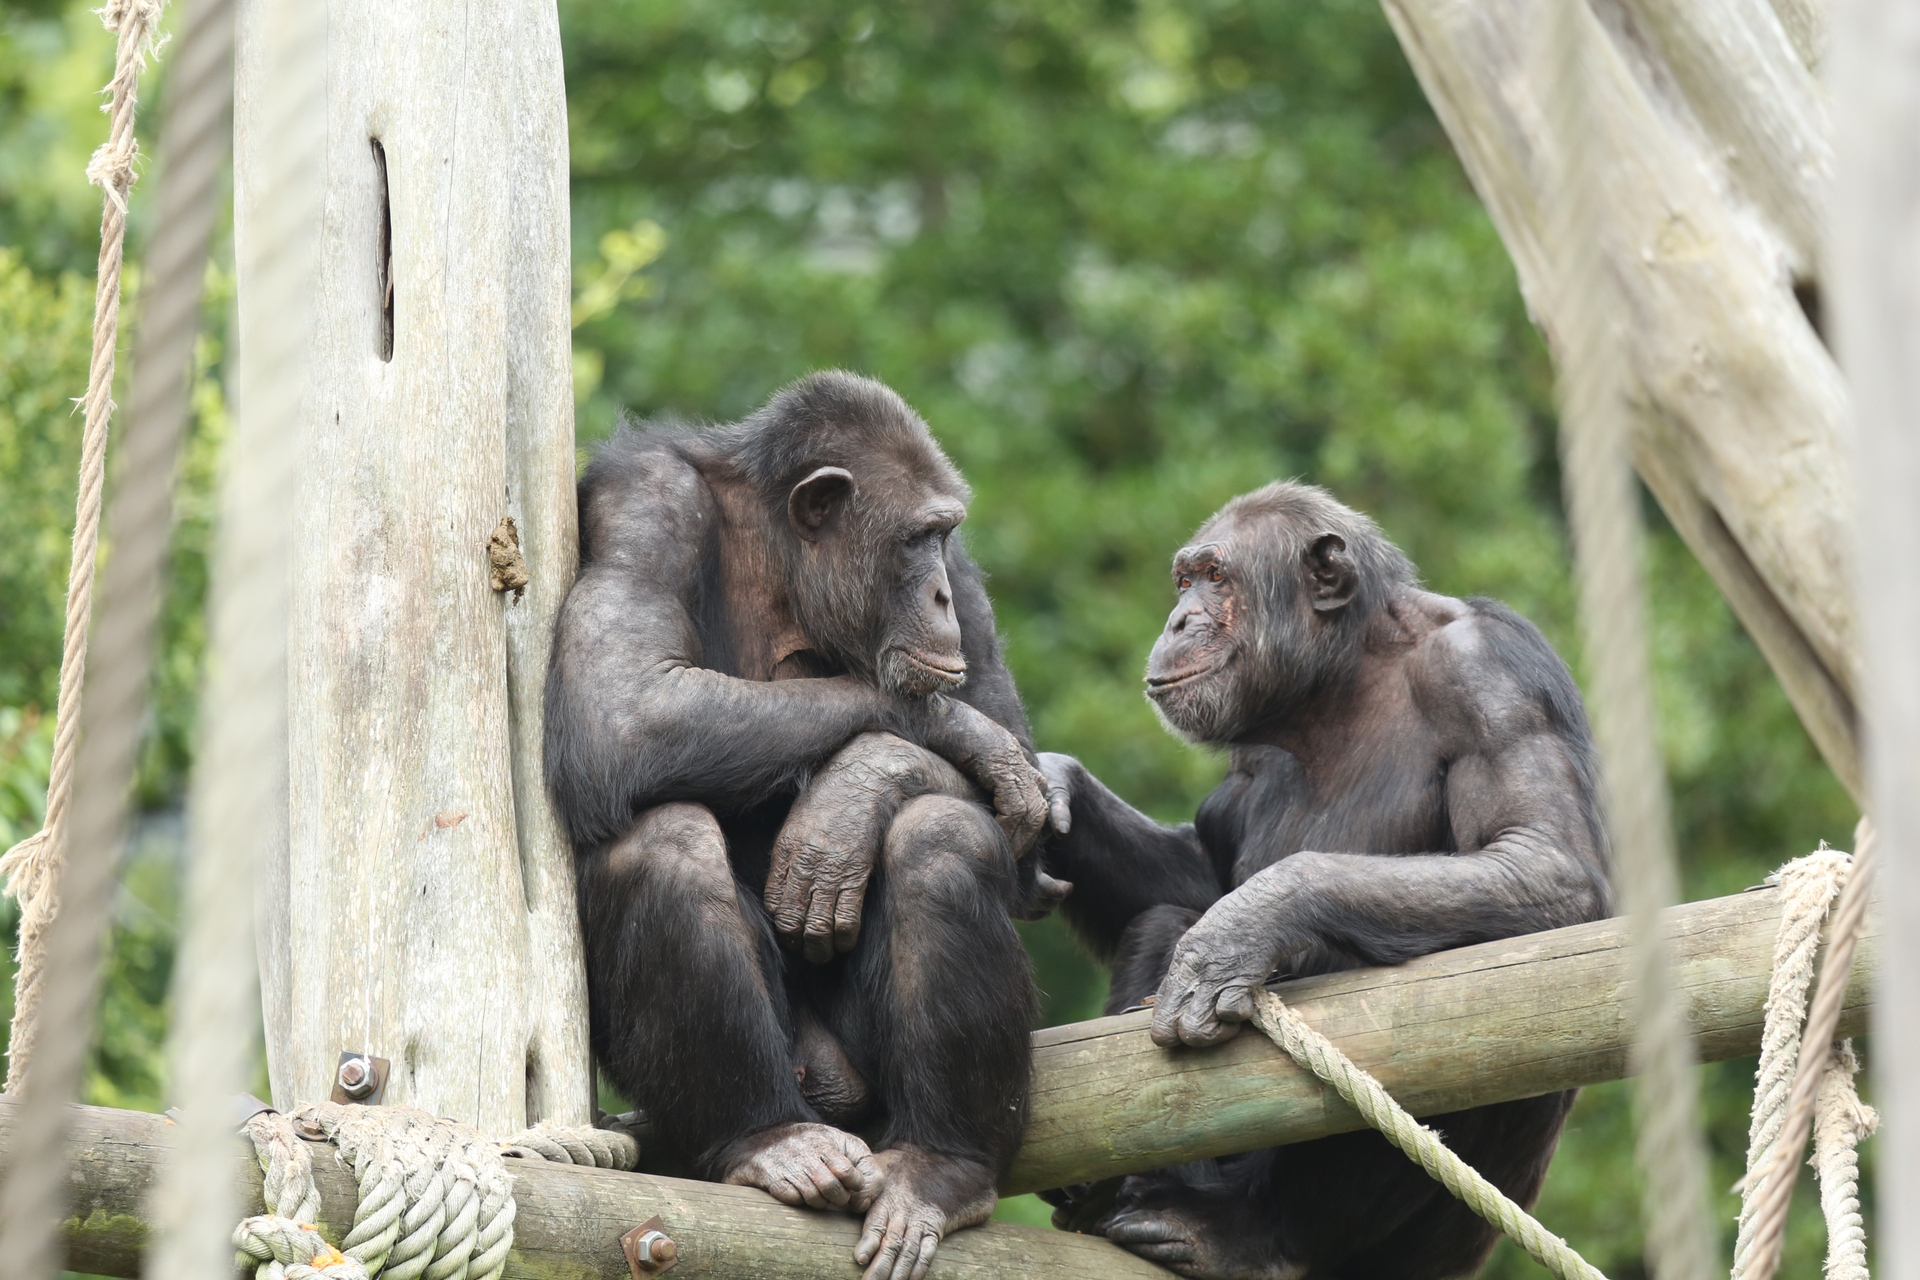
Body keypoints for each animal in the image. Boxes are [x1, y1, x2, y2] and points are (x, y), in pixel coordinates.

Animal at [545, 370, 1067, 1280]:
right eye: (915, 539)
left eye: (943, 537)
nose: (934, 591)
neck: (786, 560)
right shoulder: (643, 506)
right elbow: (623, 707)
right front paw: (951, 733)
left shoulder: (969, 587)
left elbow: (1024, 807)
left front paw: (858, 791)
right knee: (662, 842)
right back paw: (770, 1138)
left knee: (942, 840)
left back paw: (942, 1168)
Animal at [1036, 483, 1605, 1280]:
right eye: (1185, 581)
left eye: (1217, 577)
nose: (1180, 618)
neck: (1338, 684)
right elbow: (1199, 873)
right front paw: (1057, 790)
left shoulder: (1488, 675)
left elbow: (1544, 859)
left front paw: (1243, 929)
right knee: (1162, 916)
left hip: (1431, 1247)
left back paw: (1239, 1235)